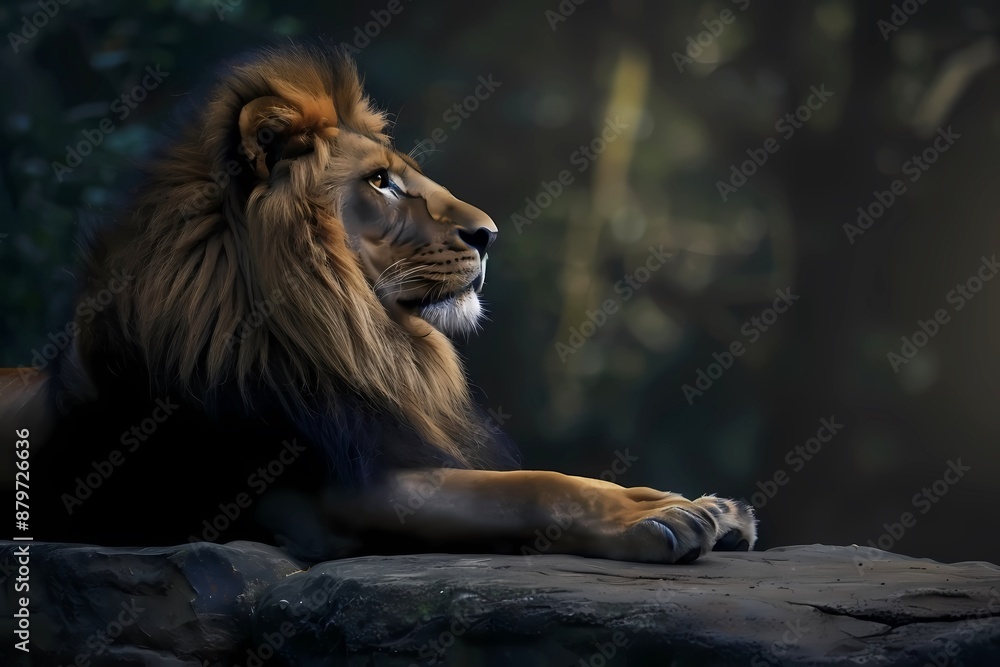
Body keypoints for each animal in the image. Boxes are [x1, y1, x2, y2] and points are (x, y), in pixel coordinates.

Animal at [1, 45, 756, 564]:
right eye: (381, 182)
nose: (489, 234)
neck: (351, 336)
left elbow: (538, 475)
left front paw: (706, 504)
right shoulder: (324, 501)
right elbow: (531, 486)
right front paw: (665, 519)